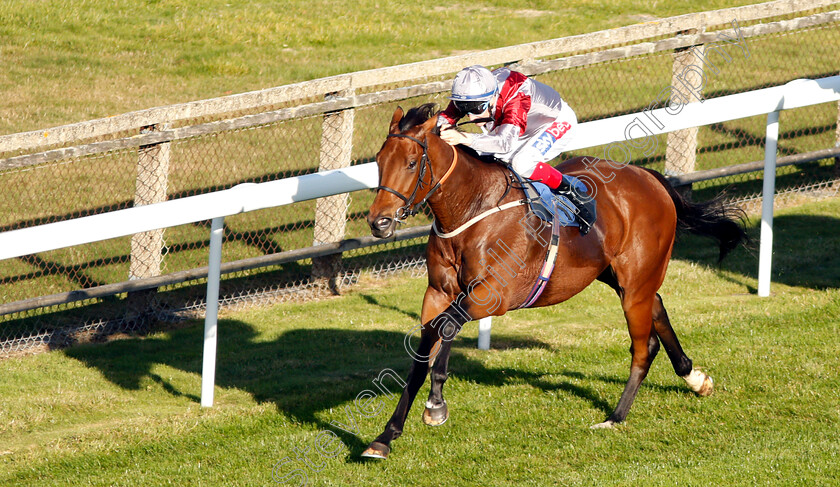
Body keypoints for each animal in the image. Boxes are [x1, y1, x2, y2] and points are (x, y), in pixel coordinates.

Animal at [364, 104, 744, 462]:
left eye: (411, 163)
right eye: (379, 161)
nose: (379, 222)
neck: (471, 209)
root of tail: (647, 176)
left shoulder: (493, 296)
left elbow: (444, 329)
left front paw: (431, 407)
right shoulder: (438, 293)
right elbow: (427, 346)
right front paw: (388, 435)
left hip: (636, 282)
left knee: (643, 347)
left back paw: (615, 417)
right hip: (617, 276)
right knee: (659, 307)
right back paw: (695, 379)